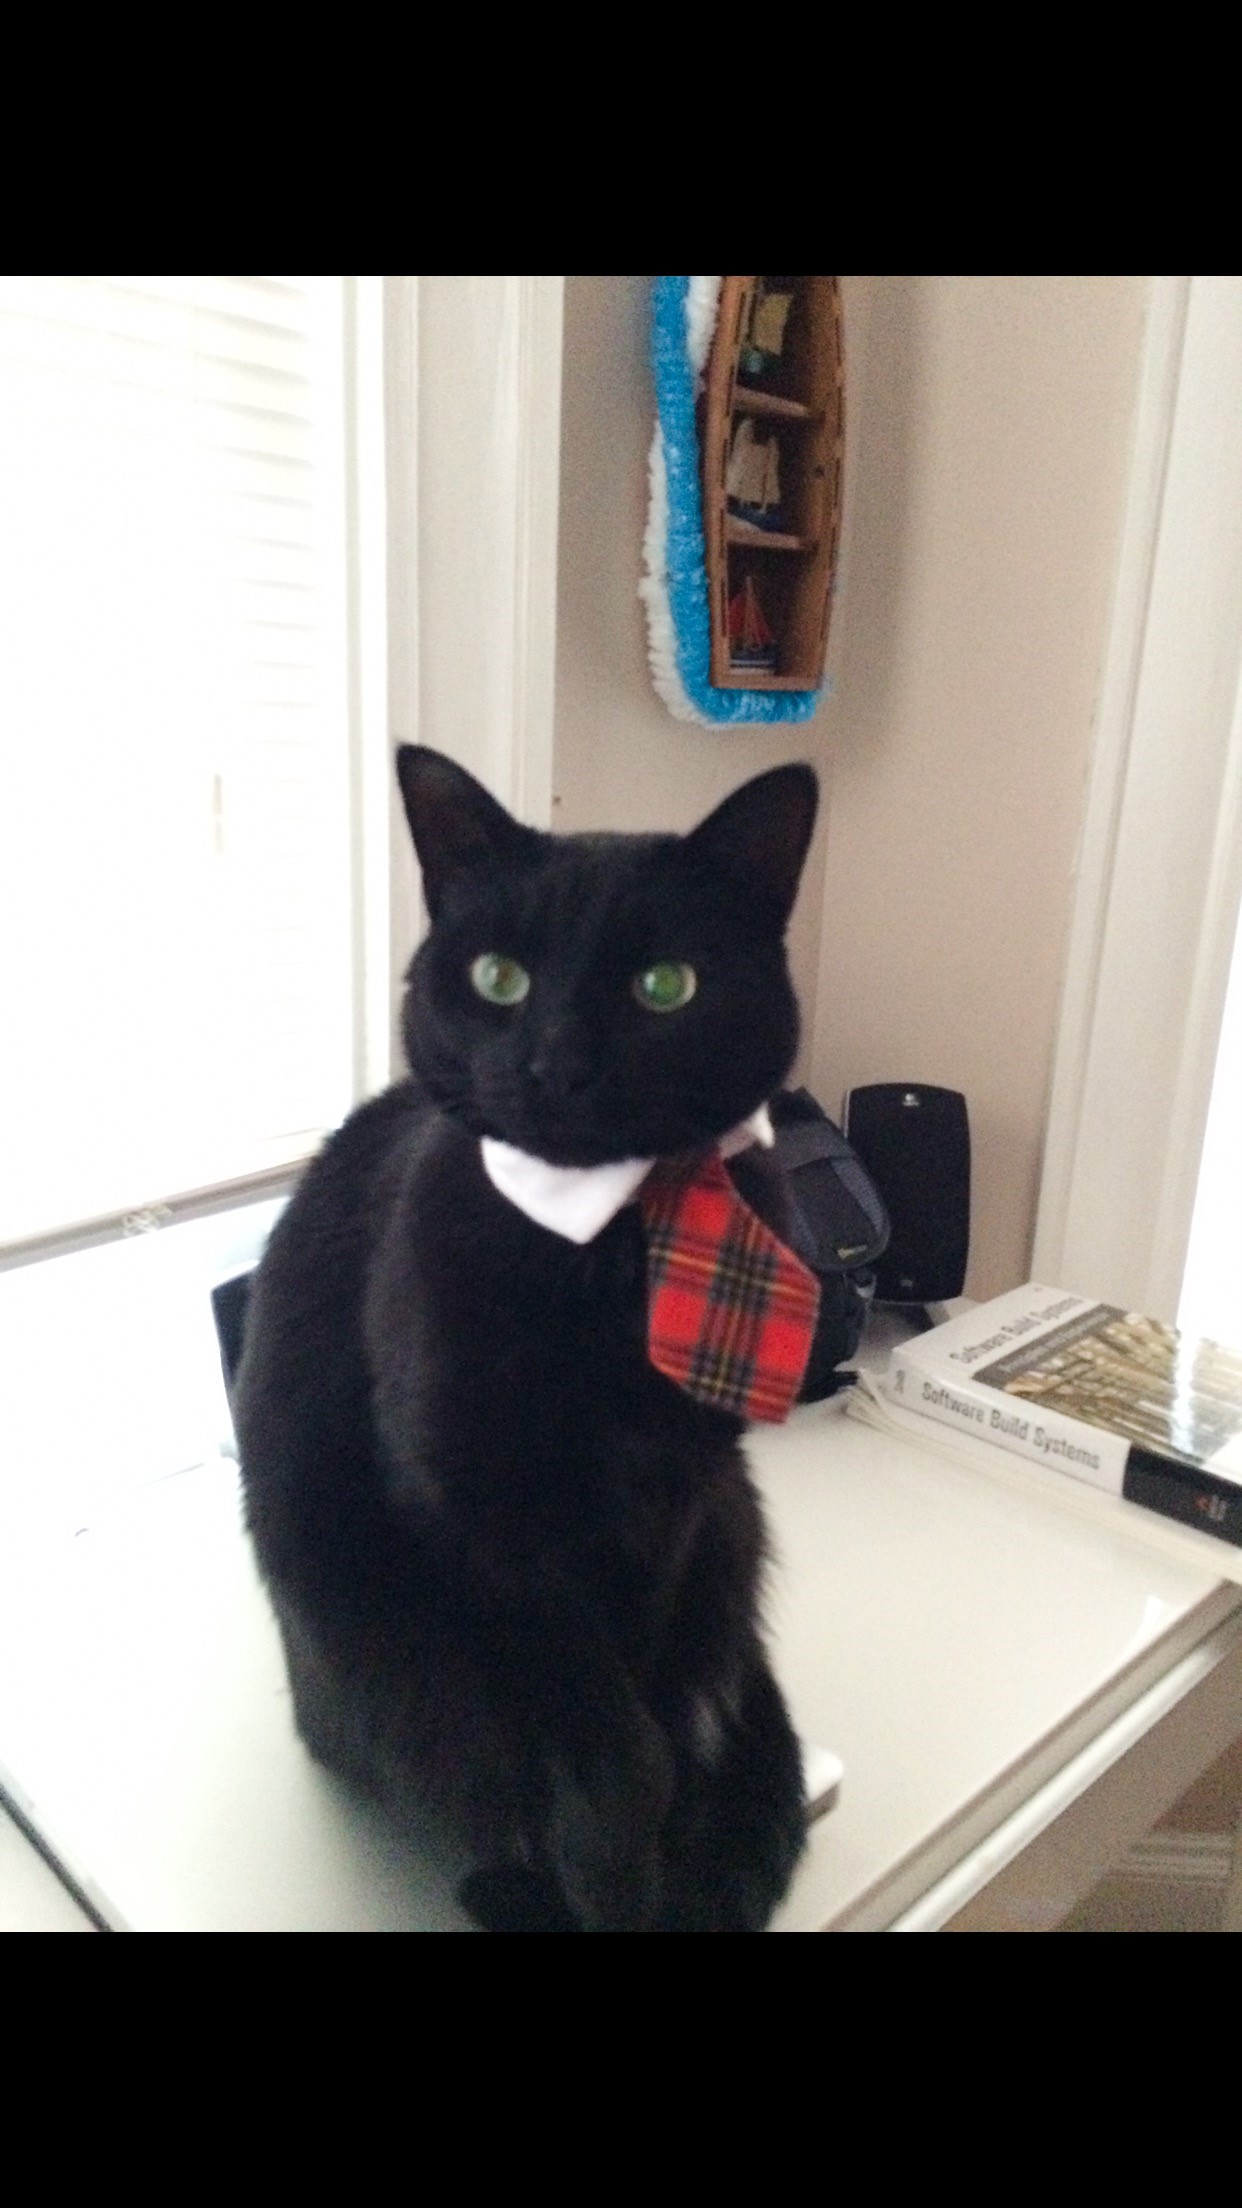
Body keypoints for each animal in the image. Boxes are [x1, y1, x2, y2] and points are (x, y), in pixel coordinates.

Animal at [233, 744, 819, 1932]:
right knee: (462, 1773)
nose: (557, 1064)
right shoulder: (480, 1517)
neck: (611, 1253)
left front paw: (657, 1871)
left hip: (731, 1537)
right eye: (498, 978)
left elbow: (650, 1711)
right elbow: (603, 1741)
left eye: (666, 986)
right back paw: (513, 1886)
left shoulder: (679, 1500)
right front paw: (607, 1876)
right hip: (382, 1663)